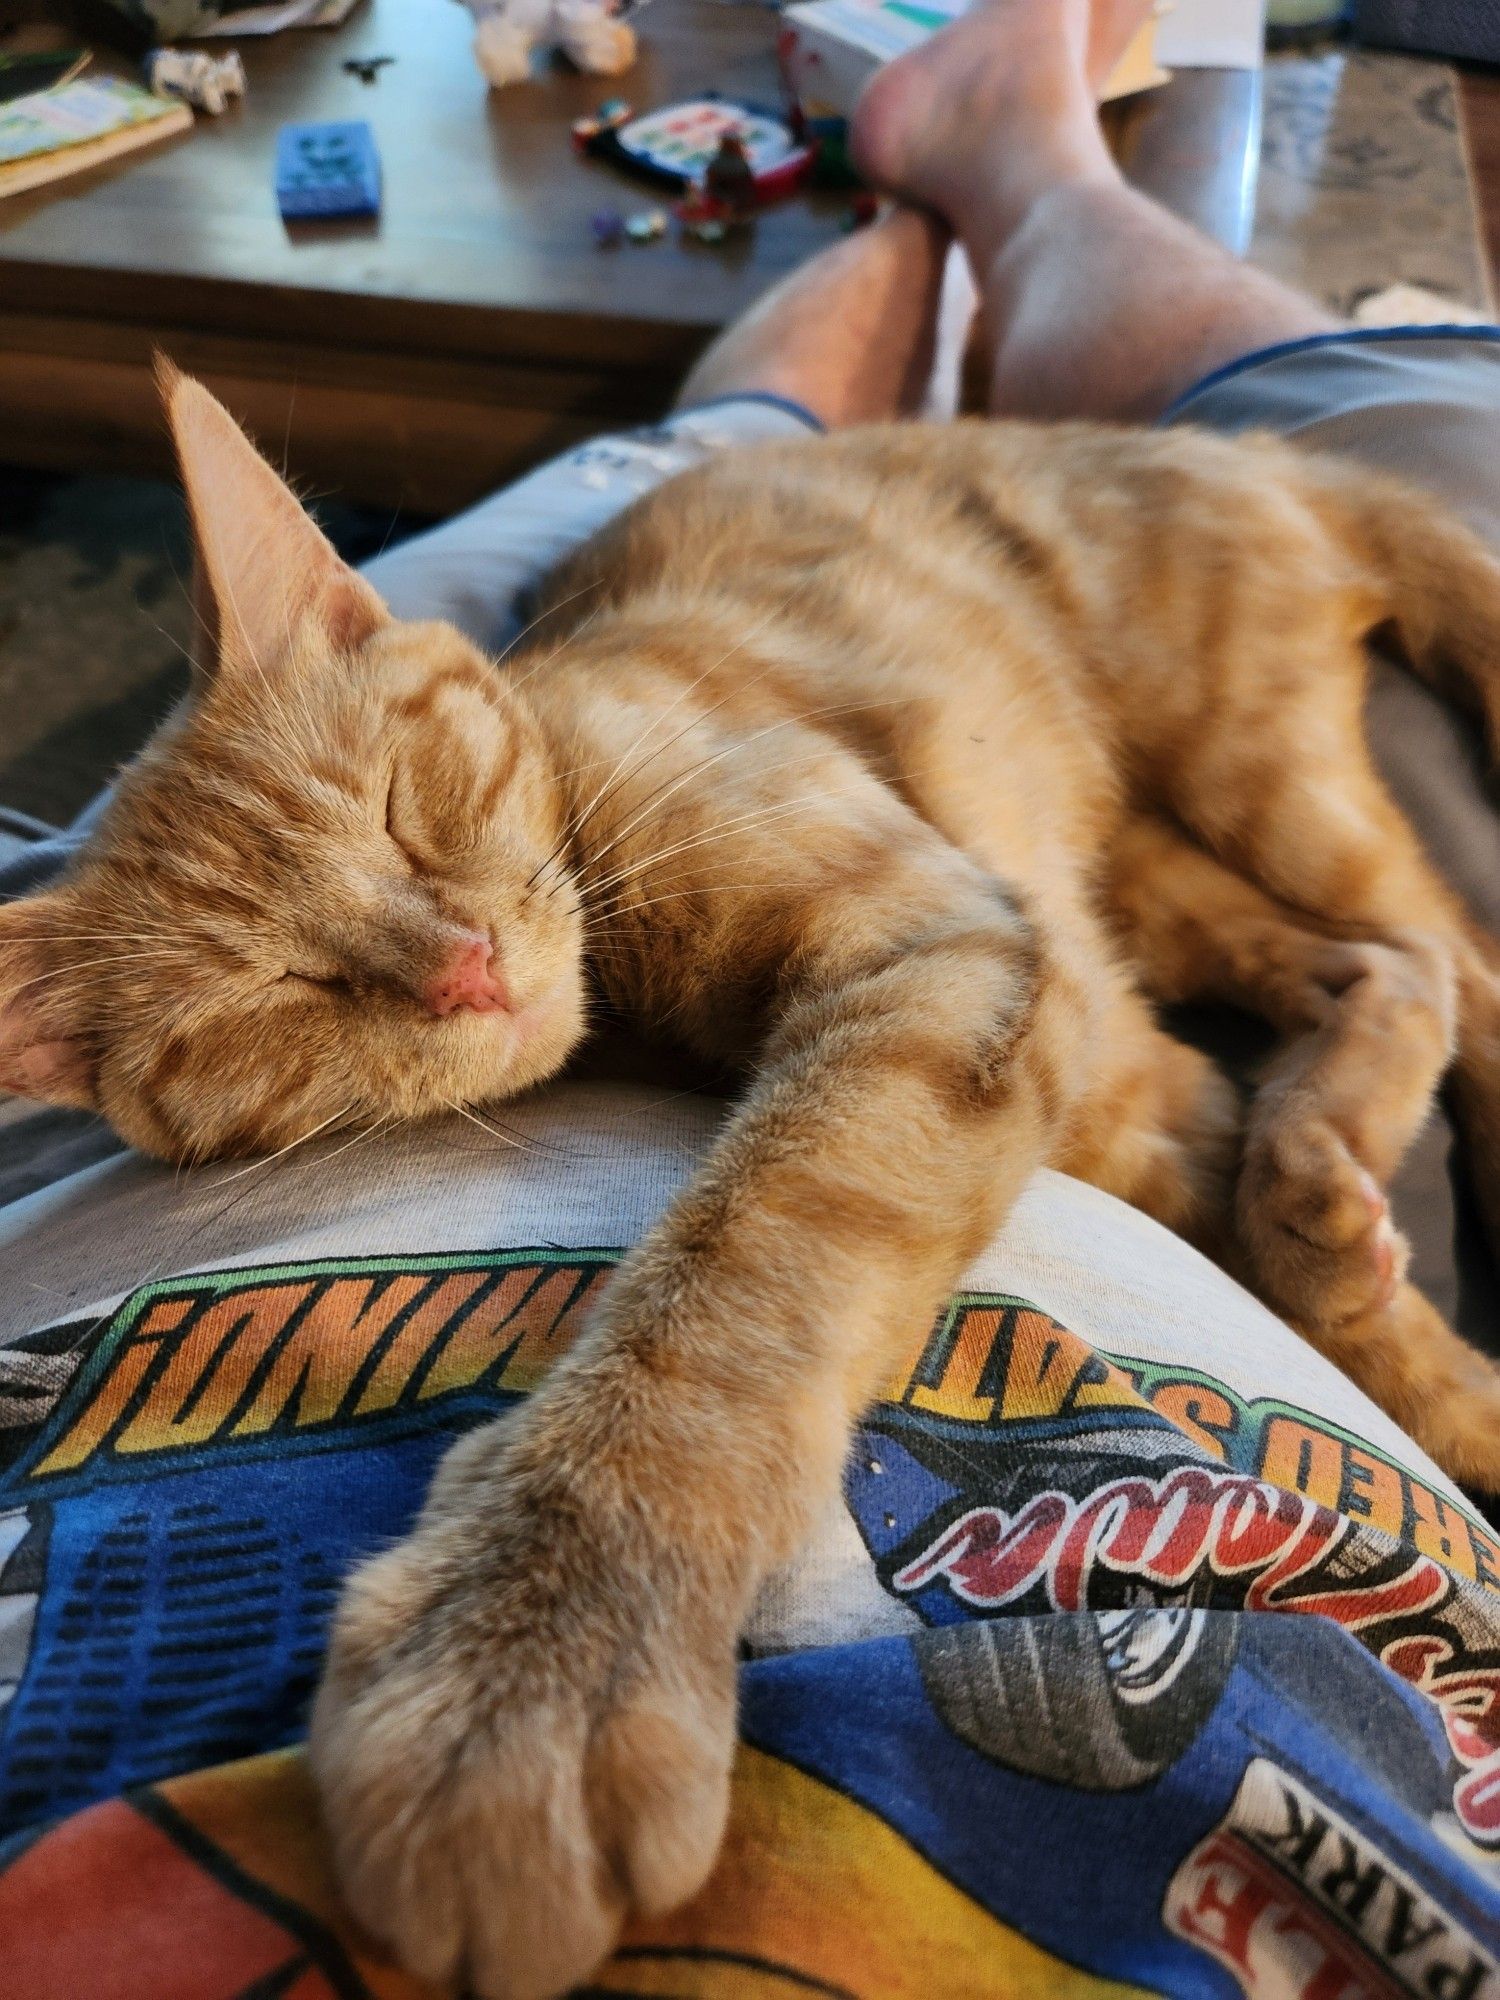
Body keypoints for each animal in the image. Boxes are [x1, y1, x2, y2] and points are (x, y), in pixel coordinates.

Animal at [2, 372, 1500, 1984]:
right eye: (275, 991)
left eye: (410, 798)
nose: (464, 971)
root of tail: (1242, 448)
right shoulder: (1089, 1042)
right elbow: (1217, 1173)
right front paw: (1351, 1279)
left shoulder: (948, 953)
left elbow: (733, 1283)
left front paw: (534, 1655)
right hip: (1161, 876)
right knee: (1377, 971)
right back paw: (1324, 1180)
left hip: (1256, 770)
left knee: (1455, 957)